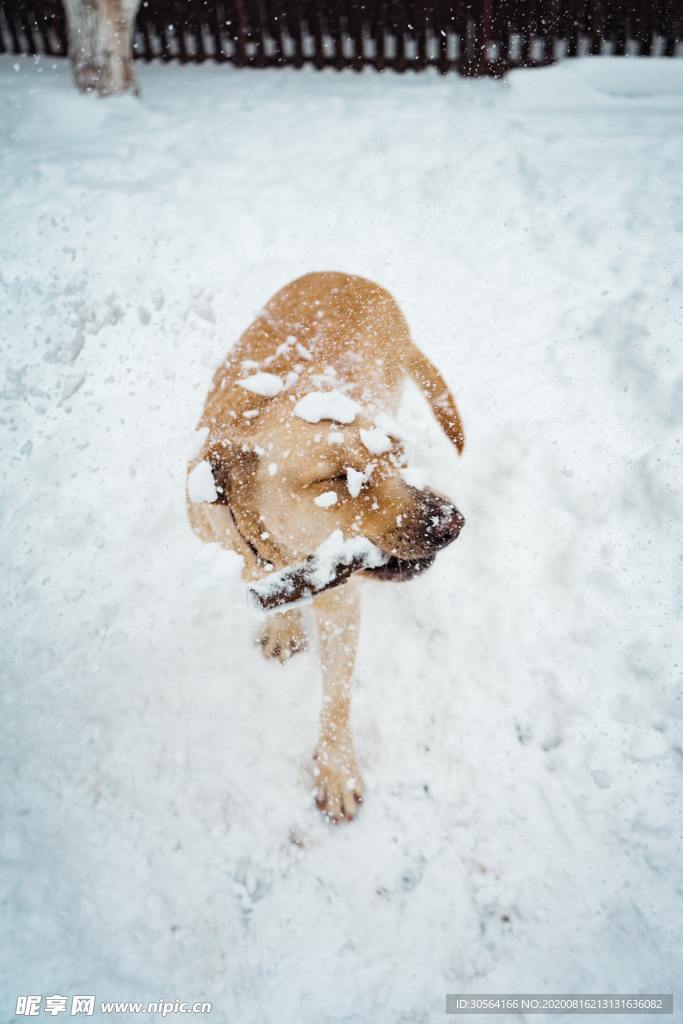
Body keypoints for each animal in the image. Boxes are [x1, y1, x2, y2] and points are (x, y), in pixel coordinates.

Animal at [187, 272, 464, 823]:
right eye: (335, 478)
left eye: (397, 455)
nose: (453, 522)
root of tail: (359, 278)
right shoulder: (235, 542)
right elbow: (259, 575)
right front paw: (282, 622)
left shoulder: (341, 600)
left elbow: (336, 695)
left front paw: (335, 770)